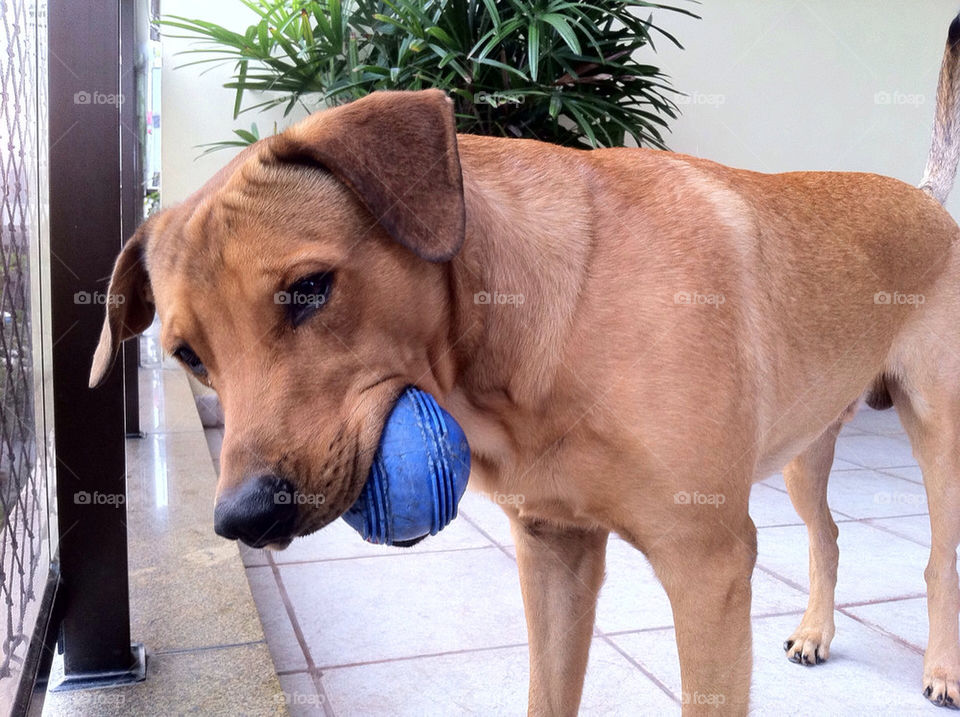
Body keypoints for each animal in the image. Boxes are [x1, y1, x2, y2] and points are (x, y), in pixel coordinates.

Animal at [94, 15, 960, 716]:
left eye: (309, 288)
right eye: (188, 355)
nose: (243, 518)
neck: (539, 327)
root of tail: (929, 201)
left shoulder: (708, 564)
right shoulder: (554, 548)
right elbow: (548, 691)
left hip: (938, 441)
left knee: (936, 561)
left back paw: (943, 668)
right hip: (806, 447)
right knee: (829, 536)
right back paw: (816, 629)